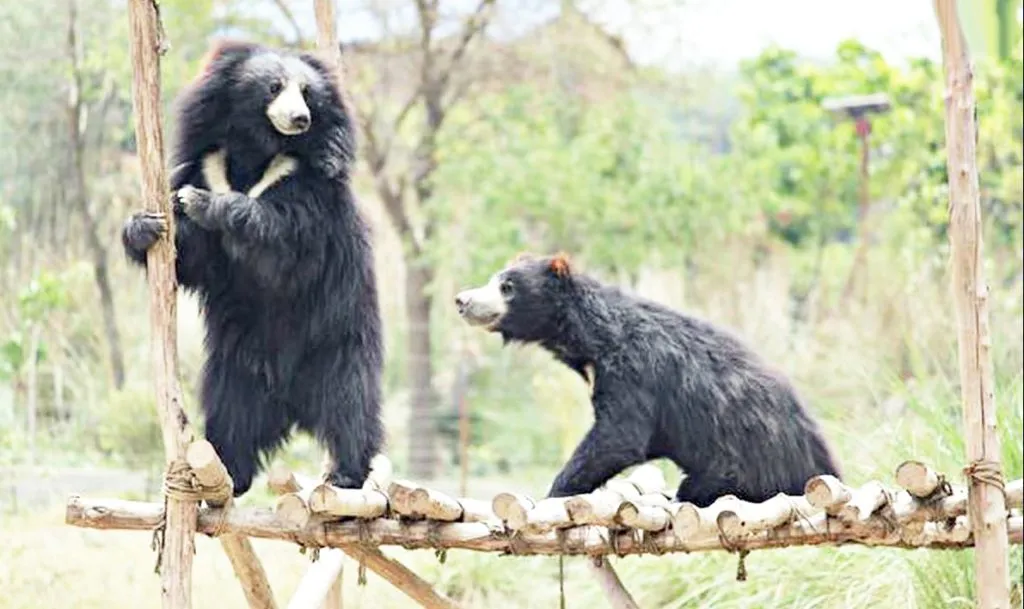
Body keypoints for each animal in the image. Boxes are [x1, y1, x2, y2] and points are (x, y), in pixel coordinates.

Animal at [121, 40, 384, 497]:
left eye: (308, 93)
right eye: (274, 86)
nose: (300, 119)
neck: (256, 150)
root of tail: (292, 404)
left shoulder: (309, 187)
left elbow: (284, 243)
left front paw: (203, 204)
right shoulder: (207, 163)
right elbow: (196, 257)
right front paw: (144, 227)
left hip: (339, 344)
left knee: (351, 404)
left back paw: (346, 473)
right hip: (237, 369)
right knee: (232, 416)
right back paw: (231, 471)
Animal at [454, 253, 841, 507]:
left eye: (507, 287)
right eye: (493, 280)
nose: (461, 299)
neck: (589, 339)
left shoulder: (632, 371)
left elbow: (619, 435)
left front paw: (554, 493)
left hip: (742, 464)